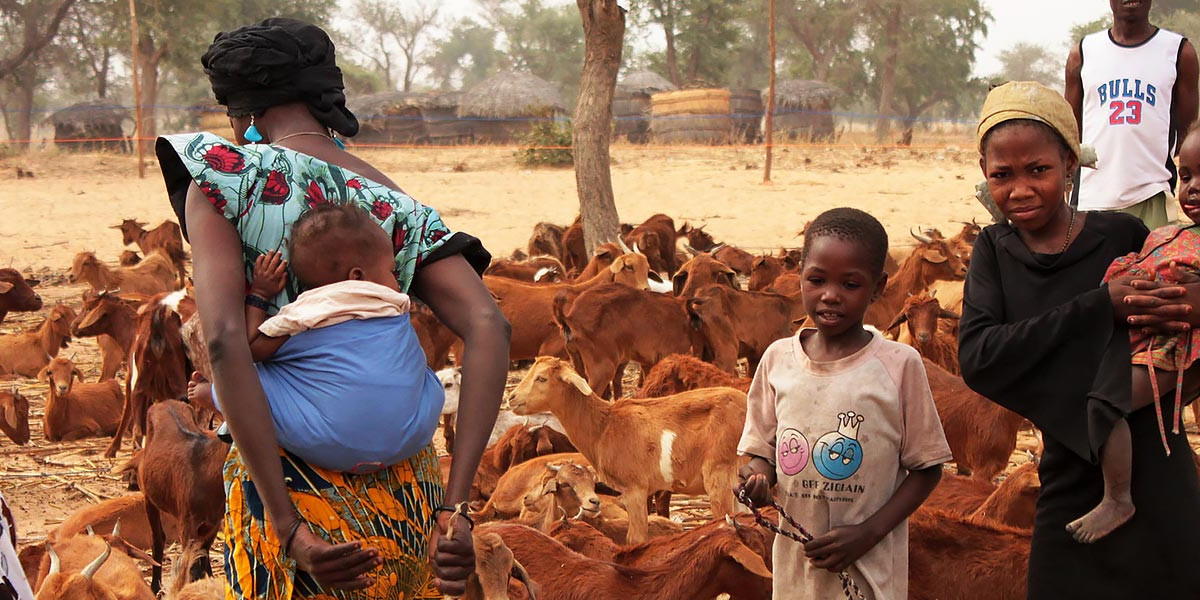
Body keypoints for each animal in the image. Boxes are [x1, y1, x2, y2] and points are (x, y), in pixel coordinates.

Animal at [138, 400, 226, 592]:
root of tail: (164, 402)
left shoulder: (214, 522)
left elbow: (202, 556)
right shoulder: (187, 524)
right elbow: (192, 566)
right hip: (149, 497)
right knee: (158, 539)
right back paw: (155, 587)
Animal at [508, 357, 748, 547]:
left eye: (541, 378)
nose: (511, 398)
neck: (604, 426)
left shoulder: (635, 488)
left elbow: (636, 538)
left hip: (720, 470)